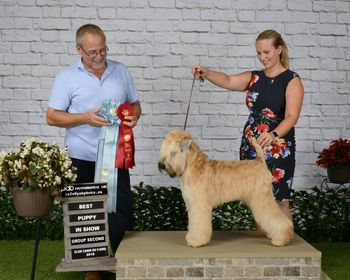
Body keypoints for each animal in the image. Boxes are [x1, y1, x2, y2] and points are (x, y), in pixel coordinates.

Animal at [158, 130, 292, 246]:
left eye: (173, 152)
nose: (161, 165)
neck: (193, 164)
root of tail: (260, 162)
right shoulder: (192, 204)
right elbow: (193, 223)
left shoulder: (199, 204)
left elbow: (199, 223)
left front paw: (196, 240)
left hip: (262, 199)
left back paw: (281, 238)